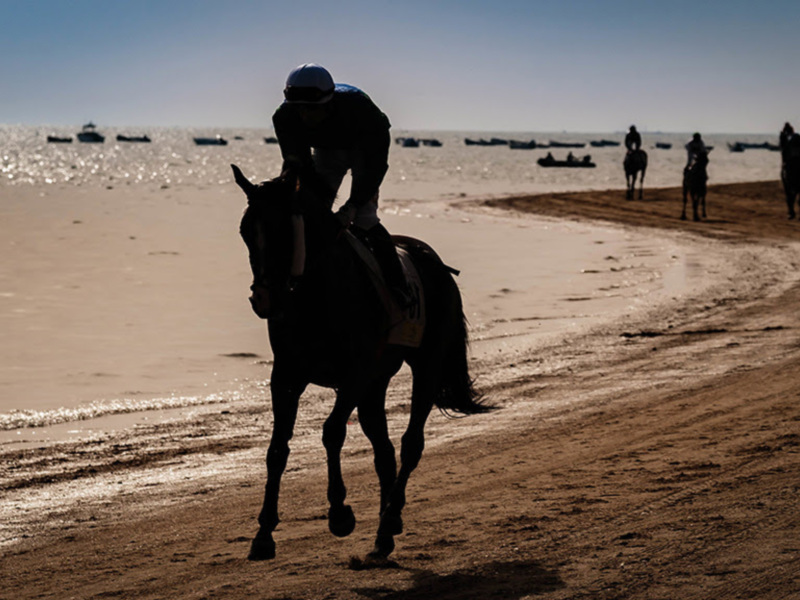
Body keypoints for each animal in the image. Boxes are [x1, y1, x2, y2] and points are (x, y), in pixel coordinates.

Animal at [231, 164, 488, 563]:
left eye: (281, 230)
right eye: (246, 231)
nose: (264, 300)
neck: (314, 293)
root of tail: (438, 266)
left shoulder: (356, 374)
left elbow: (332, 431)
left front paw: (339, 513)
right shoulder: (286, 376)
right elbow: (277, 449)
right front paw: (263, 534)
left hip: (425, 366)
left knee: (411, 443)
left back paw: (390, 518)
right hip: (376, 386)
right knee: (384, 450)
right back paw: (385, 531)